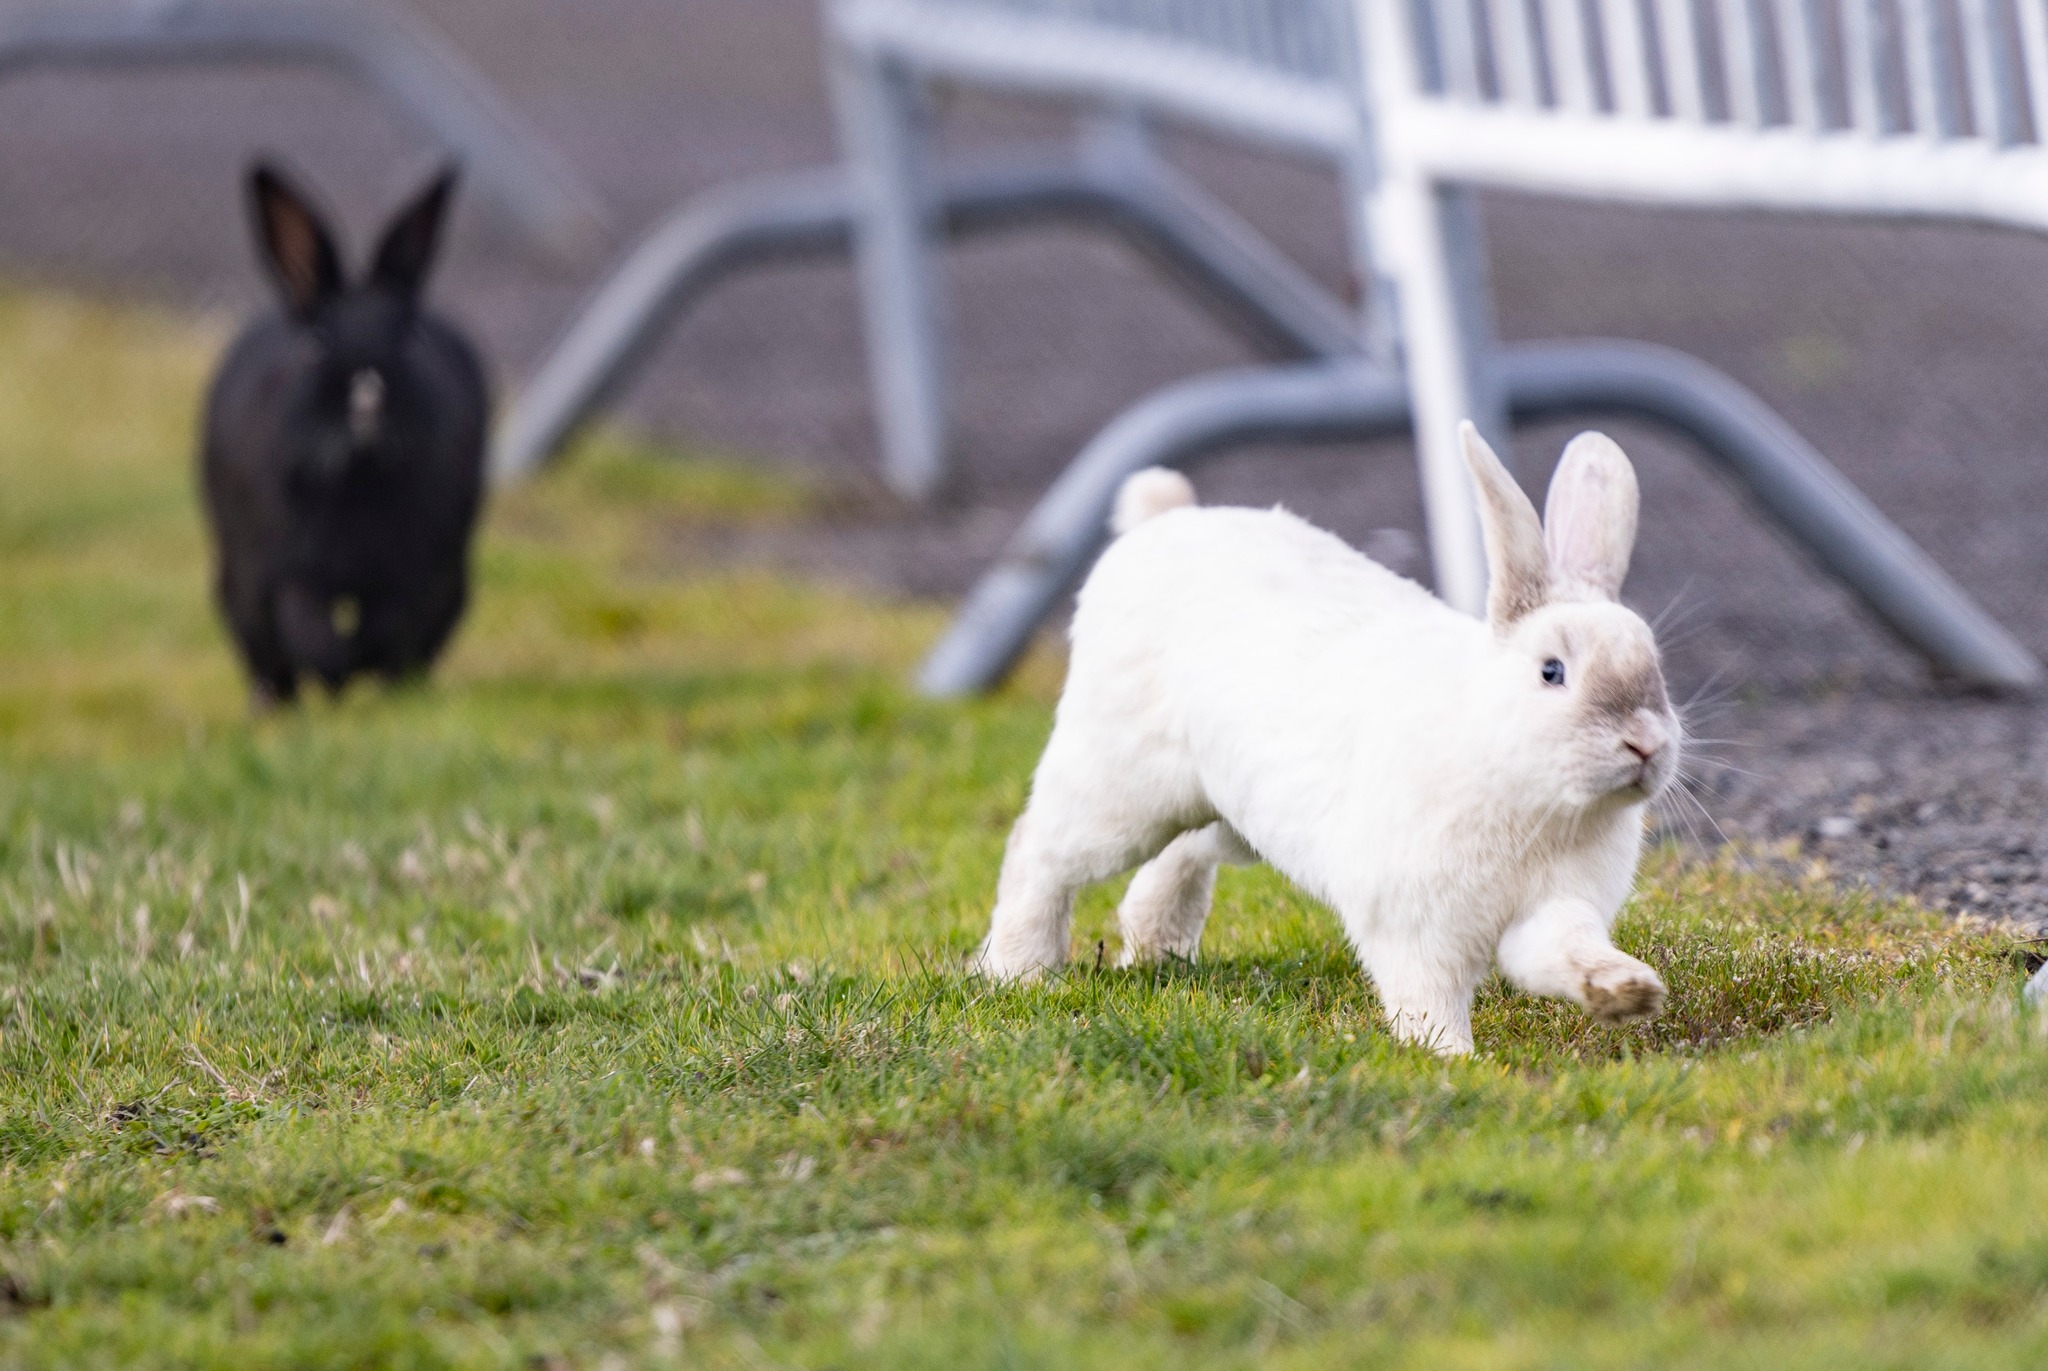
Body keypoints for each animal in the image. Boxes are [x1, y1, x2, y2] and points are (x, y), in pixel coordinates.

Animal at [200, 161, 489, 708]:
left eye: (406, 335)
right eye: (317, 343)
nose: (368, 398)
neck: (358, 475)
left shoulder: (412, 572)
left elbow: (387, 625)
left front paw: (357, 669)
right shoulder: (285, 567)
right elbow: (305, 622)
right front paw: (336, 675)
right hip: (237, 585)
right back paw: (273, 703)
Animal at [973, 423, 1681, 1056]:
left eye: (1656, 667)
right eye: (1551, 672)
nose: (1645, 745)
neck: (1531, 794)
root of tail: (1162, 523)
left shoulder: (1553, 909)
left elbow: (1564, 951)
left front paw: (1627, 991)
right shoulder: (1414, 927)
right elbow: (1427, 998)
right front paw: (1449, 1060)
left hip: (1229, 806)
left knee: (1180, 855)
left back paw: (1156, 952)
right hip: (1117, 786)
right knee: (1038, 851)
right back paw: (1019, 972)